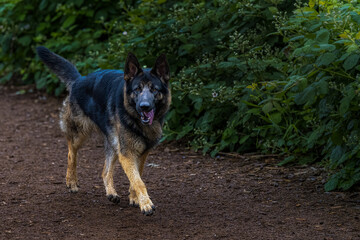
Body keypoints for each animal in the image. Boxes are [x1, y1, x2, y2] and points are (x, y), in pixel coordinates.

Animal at [35, 47, 171, 216]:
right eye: (137, 89)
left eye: (154, 89)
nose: (144, 106)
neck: (135, 120)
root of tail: (79, 79)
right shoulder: (127, 153)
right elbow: (139, 181)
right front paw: (145, 204)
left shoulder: (141, 153)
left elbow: (136, 177)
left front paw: (134, 198)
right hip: (80, 134)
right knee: (71, 153)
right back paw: (71, 181)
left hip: (113, 145)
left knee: (105, 172)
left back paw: (111, 193)